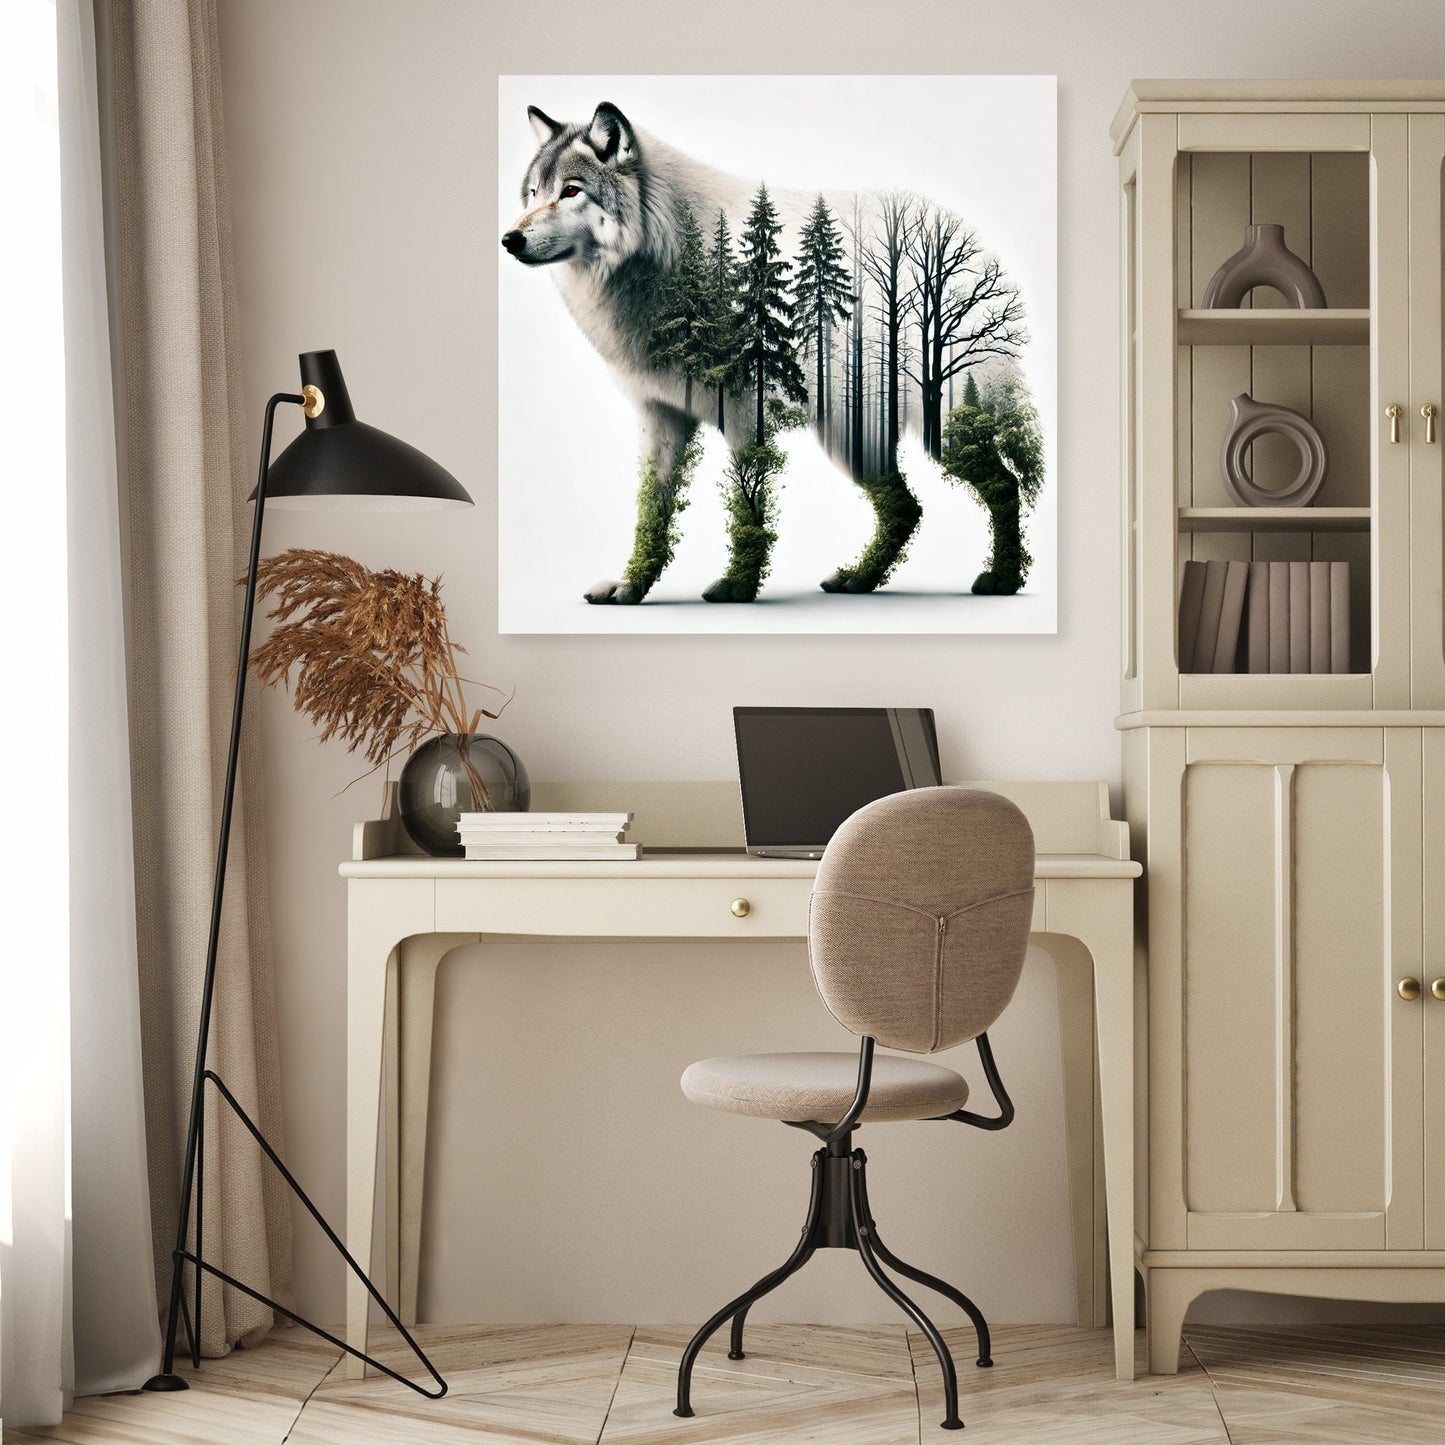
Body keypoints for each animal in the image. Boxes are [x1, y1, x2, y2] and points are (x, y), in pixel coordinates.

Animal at [502, 101, 1028, 604]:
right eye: (533, 194)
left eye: (571, 190)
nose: (510, 239)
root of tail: (972, 241)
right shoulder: (660, 416)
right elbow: (652, 510)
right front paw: (631, 587)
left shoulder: (743, 414)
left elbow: (747, 507)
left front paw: (737, 587)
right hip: (854, 439)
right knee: (906, 508)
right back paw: (859, 579)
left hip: (940, 426)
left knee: (1004, 485)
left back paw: (1003, 578)